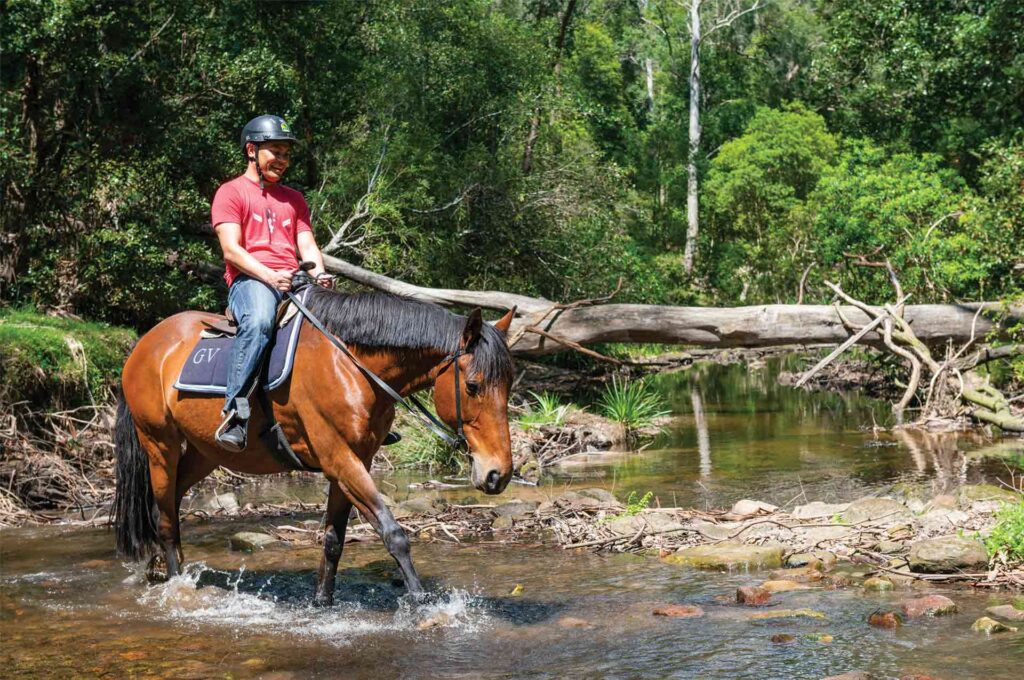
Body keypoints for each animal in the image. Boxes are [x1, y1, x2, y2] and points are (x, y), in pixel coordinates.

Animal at [114, 284, 512, 602]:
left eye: (508, 385)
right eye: (473, 386)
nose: (499, 474)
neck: (351, 366)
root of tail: (145, 345)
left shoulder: (354, 461)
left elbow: (334, 540)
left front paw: (322, 601)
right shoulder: (340, 458)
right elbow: (393, 533)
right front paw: (422, 602)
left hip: (204, 453)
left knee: (166, 505)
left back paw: (159, 569)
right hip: (160, 445)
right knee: (165, 518)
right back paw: (175, 583)